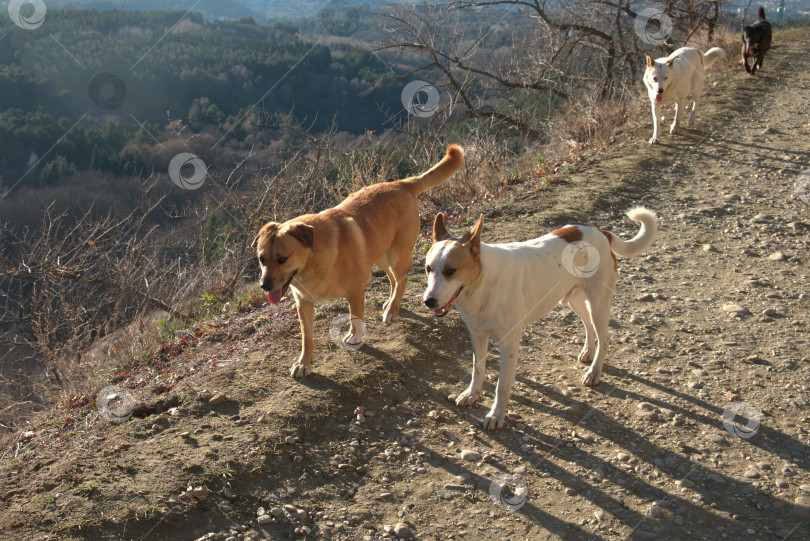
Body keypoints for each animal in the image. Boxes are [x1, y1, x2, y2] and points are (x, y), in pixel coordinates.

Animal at [252, 146, 468, 378]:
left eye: (282, 259)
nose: (264, 286)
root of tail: (401, 183)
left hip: (396, 255)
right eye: (261, 259)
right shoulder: (304, 303)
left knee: (402, 280)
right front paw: (304, 363)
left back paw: (392, 310)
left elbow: (355, 316)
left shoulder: (355, 291)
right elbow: (306, 337)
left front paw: (354, 337)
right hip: (381, 255)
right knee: (394, 280)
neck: (313, 261)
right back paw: (391, 303)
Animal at [422, 209, 656, 428]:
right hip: (576, 300)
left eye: (450, 271)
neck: (484, 283)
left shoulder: (509, 344)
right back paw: (588, 352)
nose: (428, 301)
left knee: (605, 338)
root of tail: (601, 231)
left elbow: (502, 386)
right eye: (428, 269)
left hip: (598, 303)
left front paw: (496, 415)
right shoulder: (477, 335)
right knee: (588, 326)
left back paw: (594, 372)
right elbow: (477, 369)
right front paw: (472, 394)